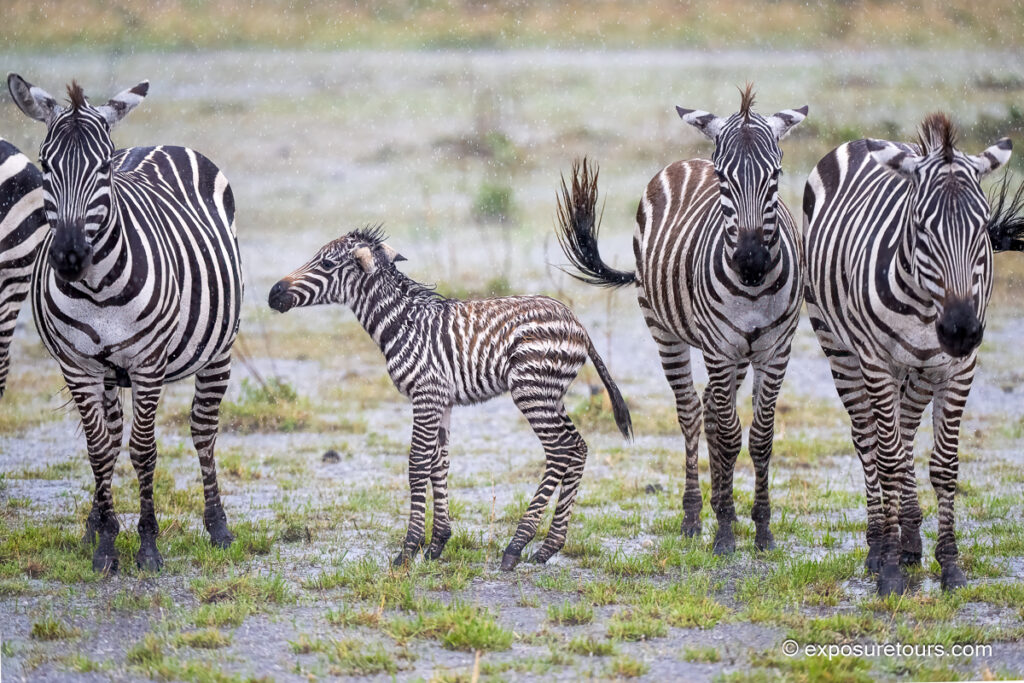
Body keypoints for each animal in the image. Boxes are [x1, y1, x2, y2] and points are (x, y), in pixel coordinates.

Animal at [7, 74, 243, 573]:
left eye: (102, 169)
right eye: (45, 165)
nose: (69, 256)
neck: (96, 289)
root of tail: (160, 144)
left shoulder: (148, 364)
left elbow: (144, 449)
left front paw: (148, 544)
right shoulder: (77, 366)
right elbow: (100, 449)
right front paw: (105, 544)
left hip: (219, 351)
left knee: (203, 429)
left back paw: (218, 526)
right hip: (109, 373)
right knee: (112, 436)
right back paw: (94, 525)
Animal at [268, 226, 632, 570]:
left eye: (327, 265)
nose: (273, 294)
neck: (400, 324)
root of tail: (577, 322)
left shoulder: (426, 396)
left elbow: (417, 464)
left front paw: (408, 549)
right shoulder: (441, 401)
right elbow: (438, 463)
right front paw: (438, 543)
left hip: (531, 391)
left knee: (560, 451)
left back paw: (516, 546)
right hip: (551, 395)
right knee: (578, 447)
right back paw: (548, 547)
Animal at [554, 86, 807, 555]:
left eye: (776, 177)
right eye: (724, 179)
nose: (750, 261)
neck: (753, 290)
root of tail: (687, 161)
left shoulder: (775, 350)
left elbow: (760, 437)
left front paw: (761, 528)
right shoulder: (719, 349)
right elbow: (728, 434)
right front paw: (724, 532)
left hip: (735, 353)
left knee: (708, 409)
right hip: (666, 331)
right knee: (691, 411)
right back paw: (694, 516)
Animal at [803, 113, 1012, 595]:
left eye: (982, 229)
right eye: (921, 229)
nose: (960, 330)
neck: (925, 305)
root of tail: (860, 141)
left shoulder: (959, 367)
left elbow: (944, 464)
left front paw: (949, 563)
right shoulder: (878, 363)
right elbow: (890, 459)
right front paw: (890, 570)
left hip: (916, 370)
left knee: (905, 431)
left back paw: (910, 540)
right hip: (840, 349)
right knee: (868, 440)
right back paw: (879, 545)